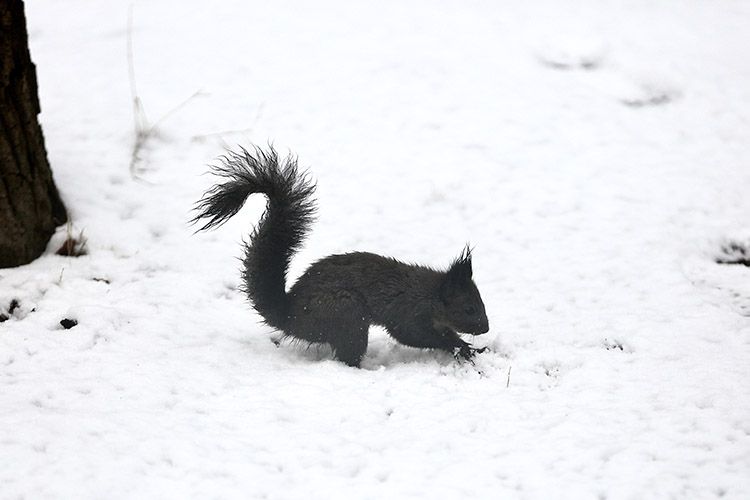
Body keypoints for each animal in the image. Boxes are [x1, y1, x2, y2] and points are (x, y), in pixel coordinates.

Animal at [191, 146, 490, 368]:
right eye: (469, 308)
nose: (485, 328)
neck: (431, 294)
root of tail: (290, 317)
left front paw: (472, 348)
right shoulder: (407, 313)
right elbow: (414, 335)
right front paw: (460, 348)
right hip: (347, 314)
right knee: (347, 355)